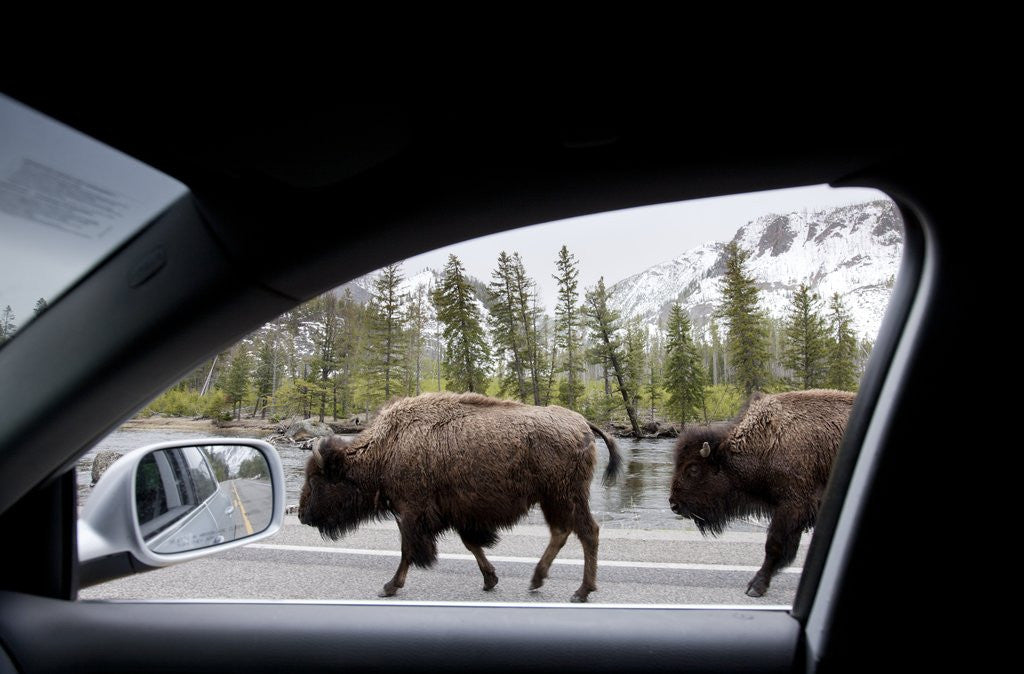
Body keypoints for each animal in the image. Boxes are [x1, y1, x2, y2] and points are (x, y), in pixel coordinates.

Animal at [298, 392, 621, 602]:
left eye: (316, 479)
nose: (301, 514)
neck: (387, 447)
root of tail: (583, 424)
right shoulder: (454, 513)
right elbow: (471, 544)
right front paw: (490, 580)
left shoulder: (411, 512)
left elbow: (408, 550)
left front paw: (389, 586)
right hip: (552, 499)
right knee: (562, 532)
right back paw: (536, 580)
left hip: (565, 496)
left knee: (587, 532)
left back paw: (580, 592)